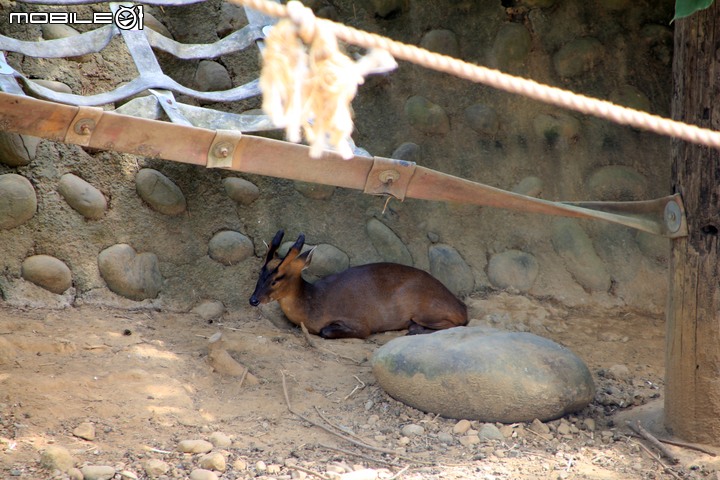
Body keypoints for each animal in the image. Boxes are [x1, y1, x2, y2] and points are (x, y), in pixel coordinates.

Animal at [250, 231, 470, 340]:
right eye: (260, 272)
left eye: (277, 279)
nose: (253, 300)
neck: (313, 302)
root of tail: (461, 306)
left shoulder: (360, 323)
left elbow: (325, 331)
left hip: (426, 309)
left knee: (456, 324)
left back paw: (415, 329)